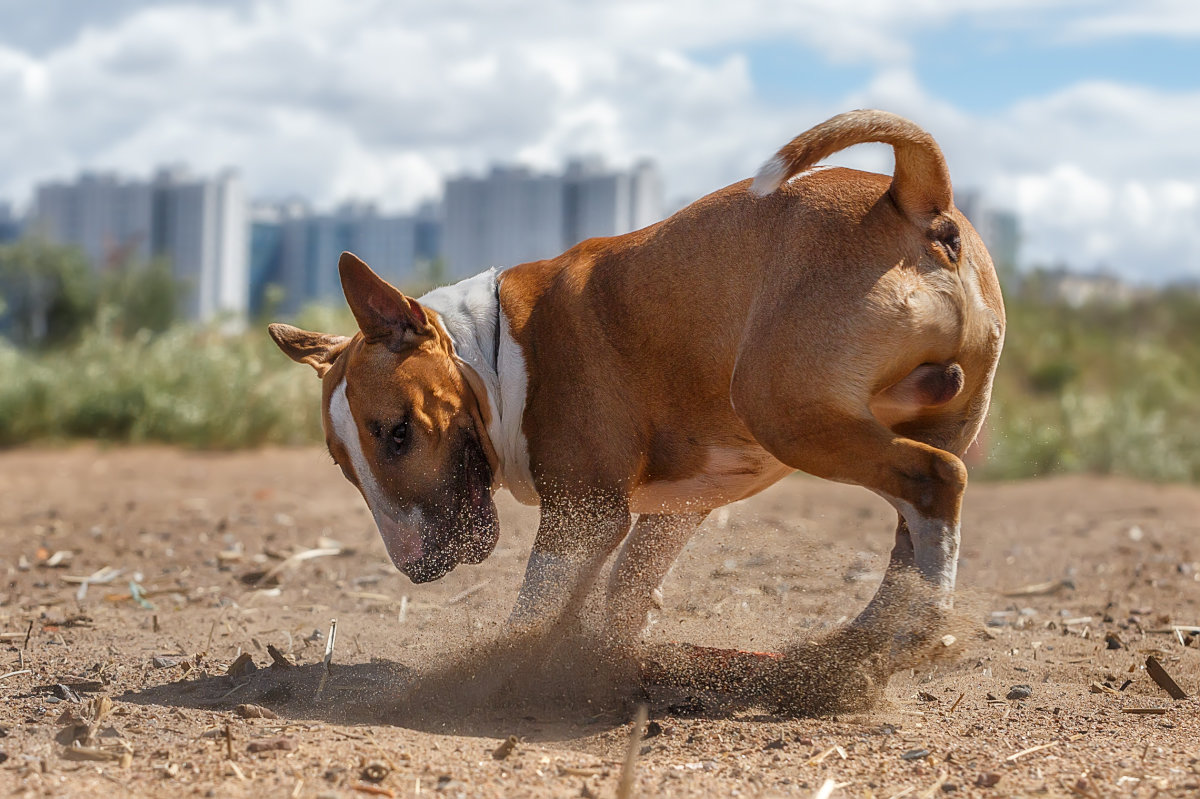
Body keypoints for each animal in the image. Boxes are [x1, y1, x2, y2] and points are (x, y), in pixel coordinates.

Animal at [270, 110, 1003, 647]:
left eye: (397, 433)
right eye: (344, 465)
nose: (418, 568)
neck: (493, 348)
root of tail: (909, 197)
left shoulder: (584, 511)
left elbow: (539, 602)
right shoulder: (678, 506)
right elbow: (625, 586)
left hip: (783, 409)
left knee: (935, 479)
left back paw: (905, 635)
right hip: (937, 413)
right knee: (915, 519)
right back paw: (871, 638)